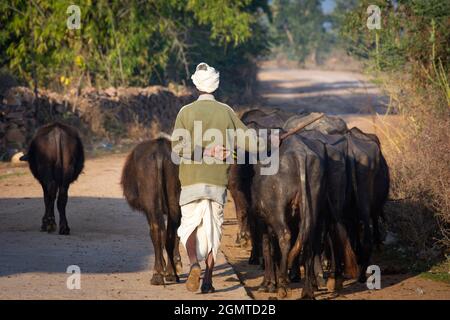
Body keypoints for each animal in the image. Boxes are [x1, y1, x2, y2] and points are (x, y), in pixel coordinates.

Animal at [121, 138, 183, 284]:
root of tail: (160, 151)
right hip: (173, 200)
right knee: (170, 231)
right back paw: (168, 273)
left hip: (151, 204)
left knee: (158, 230)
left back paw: (160, 273)